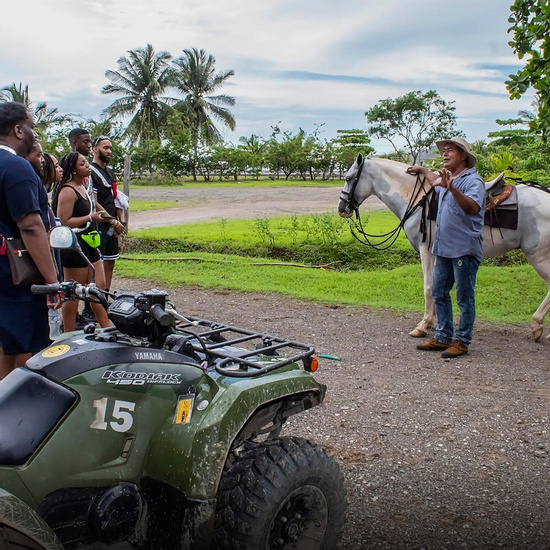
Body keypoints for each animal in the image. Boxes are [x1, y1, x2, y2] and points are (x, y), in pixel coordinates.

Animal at [338, 155, 550, 342]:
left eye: (348, 178)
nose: (341, 208)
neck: (419, 199)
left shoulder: (426, 250)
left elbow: (428, 287)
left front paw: (423, 325)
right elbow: (437, 287)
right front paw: (433, 322)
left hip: (538, 256)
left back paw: (537, 325)